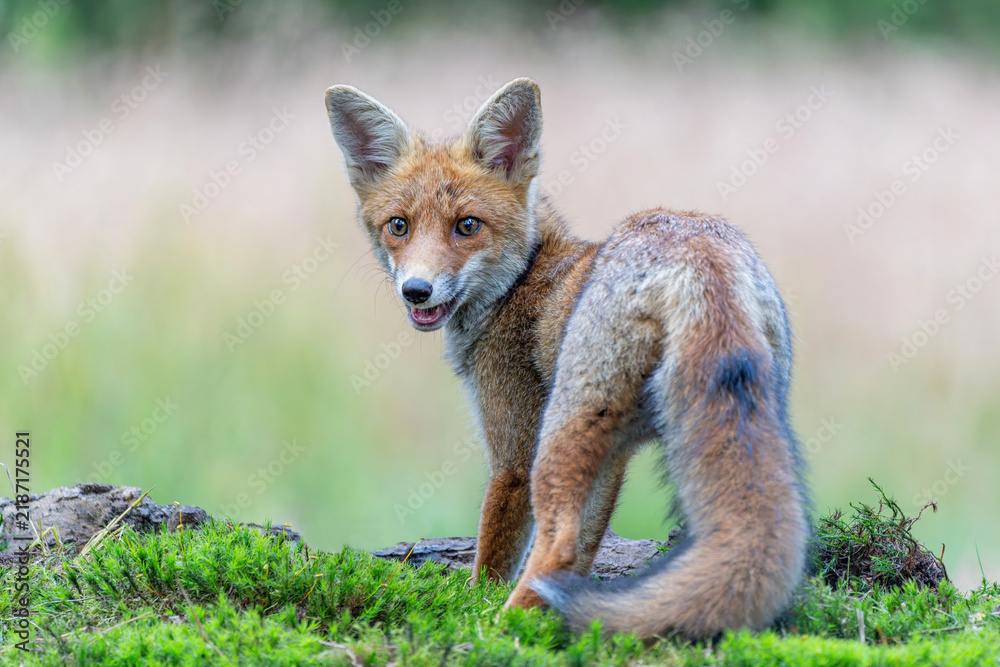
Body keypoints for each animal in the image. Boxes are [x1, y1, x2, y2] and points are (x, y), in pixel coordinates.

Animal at [324, 77, 809, 640]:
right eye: (398, 226)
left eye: (467, 226)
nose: (416, 291)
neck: (521, 279)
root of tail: (696, 256)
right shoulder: (614, 456)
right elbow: (588, 544)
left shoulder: (513, 457)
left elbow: (496, 556)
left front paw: (477, 602)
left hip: (561, 431)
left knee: (556, 545)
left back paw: (502, 628)